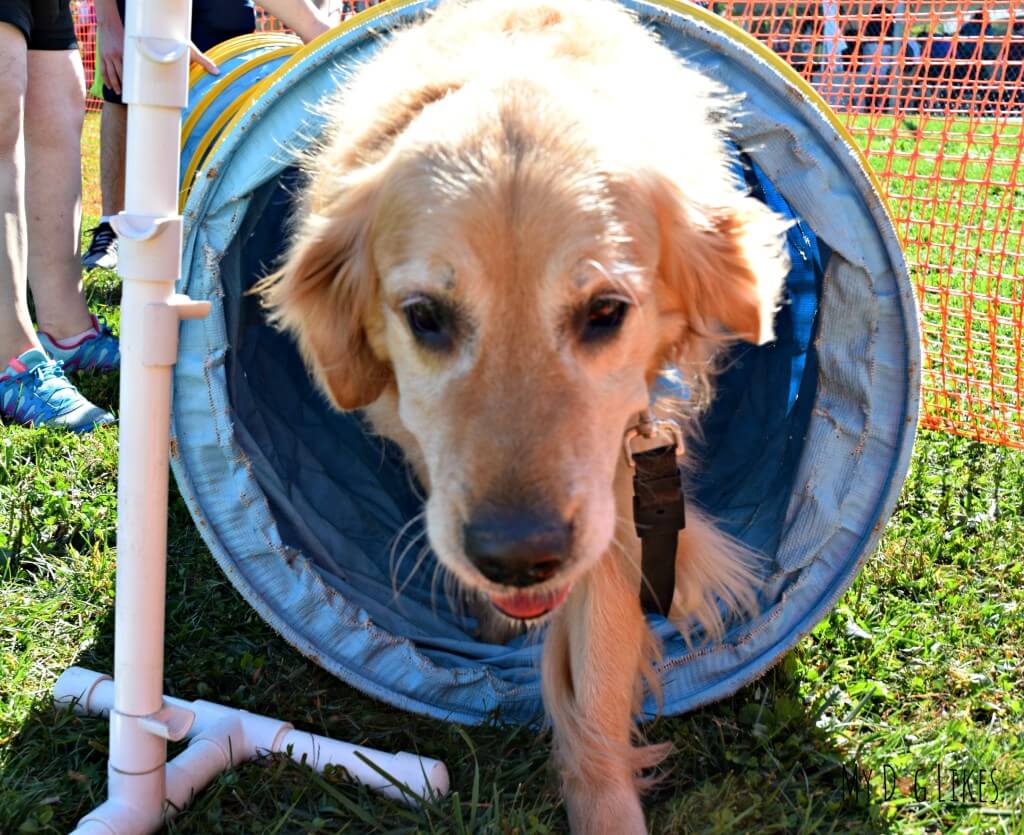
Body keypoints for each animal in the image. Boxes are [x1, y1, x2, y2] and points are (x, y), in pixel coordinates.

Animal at [260, 1, 786, 827]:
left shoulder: (619, 489)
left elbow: (597, 689)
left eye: (606, 311)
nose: (516, 558)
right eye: (425, 316)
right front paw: (494, 609)